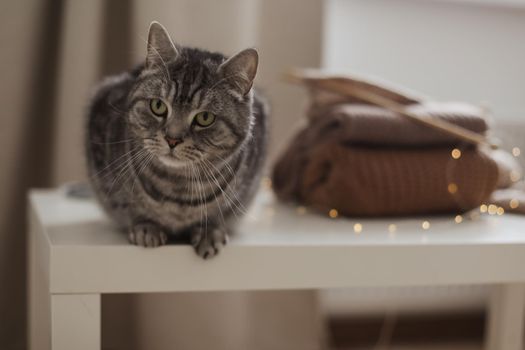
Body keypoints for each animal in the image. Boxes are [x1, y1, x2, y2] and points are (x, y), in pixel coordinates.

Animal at [87, 21, 266, 258]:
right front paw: (146, 226)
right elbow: (129, 206)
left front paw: (209, 230)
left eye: (205, 118)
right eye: (158, 106)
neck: (178, 187)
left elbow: (221, 211)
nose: (172, 139)